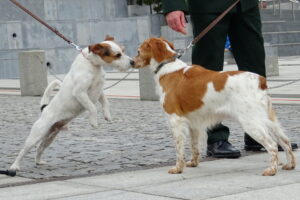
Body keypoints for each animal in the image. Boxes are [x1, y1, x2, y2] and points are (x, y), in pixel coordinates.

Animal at [9, 36, 134, 172]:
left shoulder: (100, 91)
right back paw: (14, 166)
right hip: (36, 135)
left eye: (123, 51)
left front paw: (107, 116)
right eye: (117, 55)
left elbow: (106, 103)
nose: (133, 62)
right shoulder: (80, 92)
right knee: (23, 150)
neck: (93, 65)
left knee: (40, 148)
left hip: (50, 136)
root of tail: (44, 109)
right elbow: (93, 108)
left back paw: (39, 162)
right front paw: (93, 122)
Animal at [134, 37, 296, 175]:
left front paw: (178, 168)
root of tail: (260, 80)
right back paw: (290, 165)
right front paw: (193, 163)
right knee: (285, 141)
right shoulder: (193, 123)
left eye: (138, 51)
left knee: (272, 145)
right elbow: (194, 146)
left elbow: (179, 148)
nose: (132, 63)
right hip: (269, 120)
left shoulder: (176, 120)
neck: (167, 67)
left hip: (251, 122)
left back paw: (272, 170)